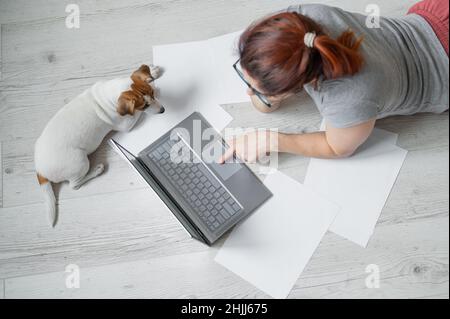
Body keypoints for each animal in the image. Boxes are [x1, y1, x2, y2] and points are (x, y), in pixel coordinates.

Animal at [33, 64, 163, 228]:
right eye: (144, 106)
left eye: (151, 94)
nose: (163, 110)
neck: (108, 96)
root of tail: (40, 170)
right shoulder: (126, 124)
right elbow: (136, 114)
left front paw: (152, 73)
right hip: (80, 162)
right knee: (74, 185)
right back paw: (96, 170)